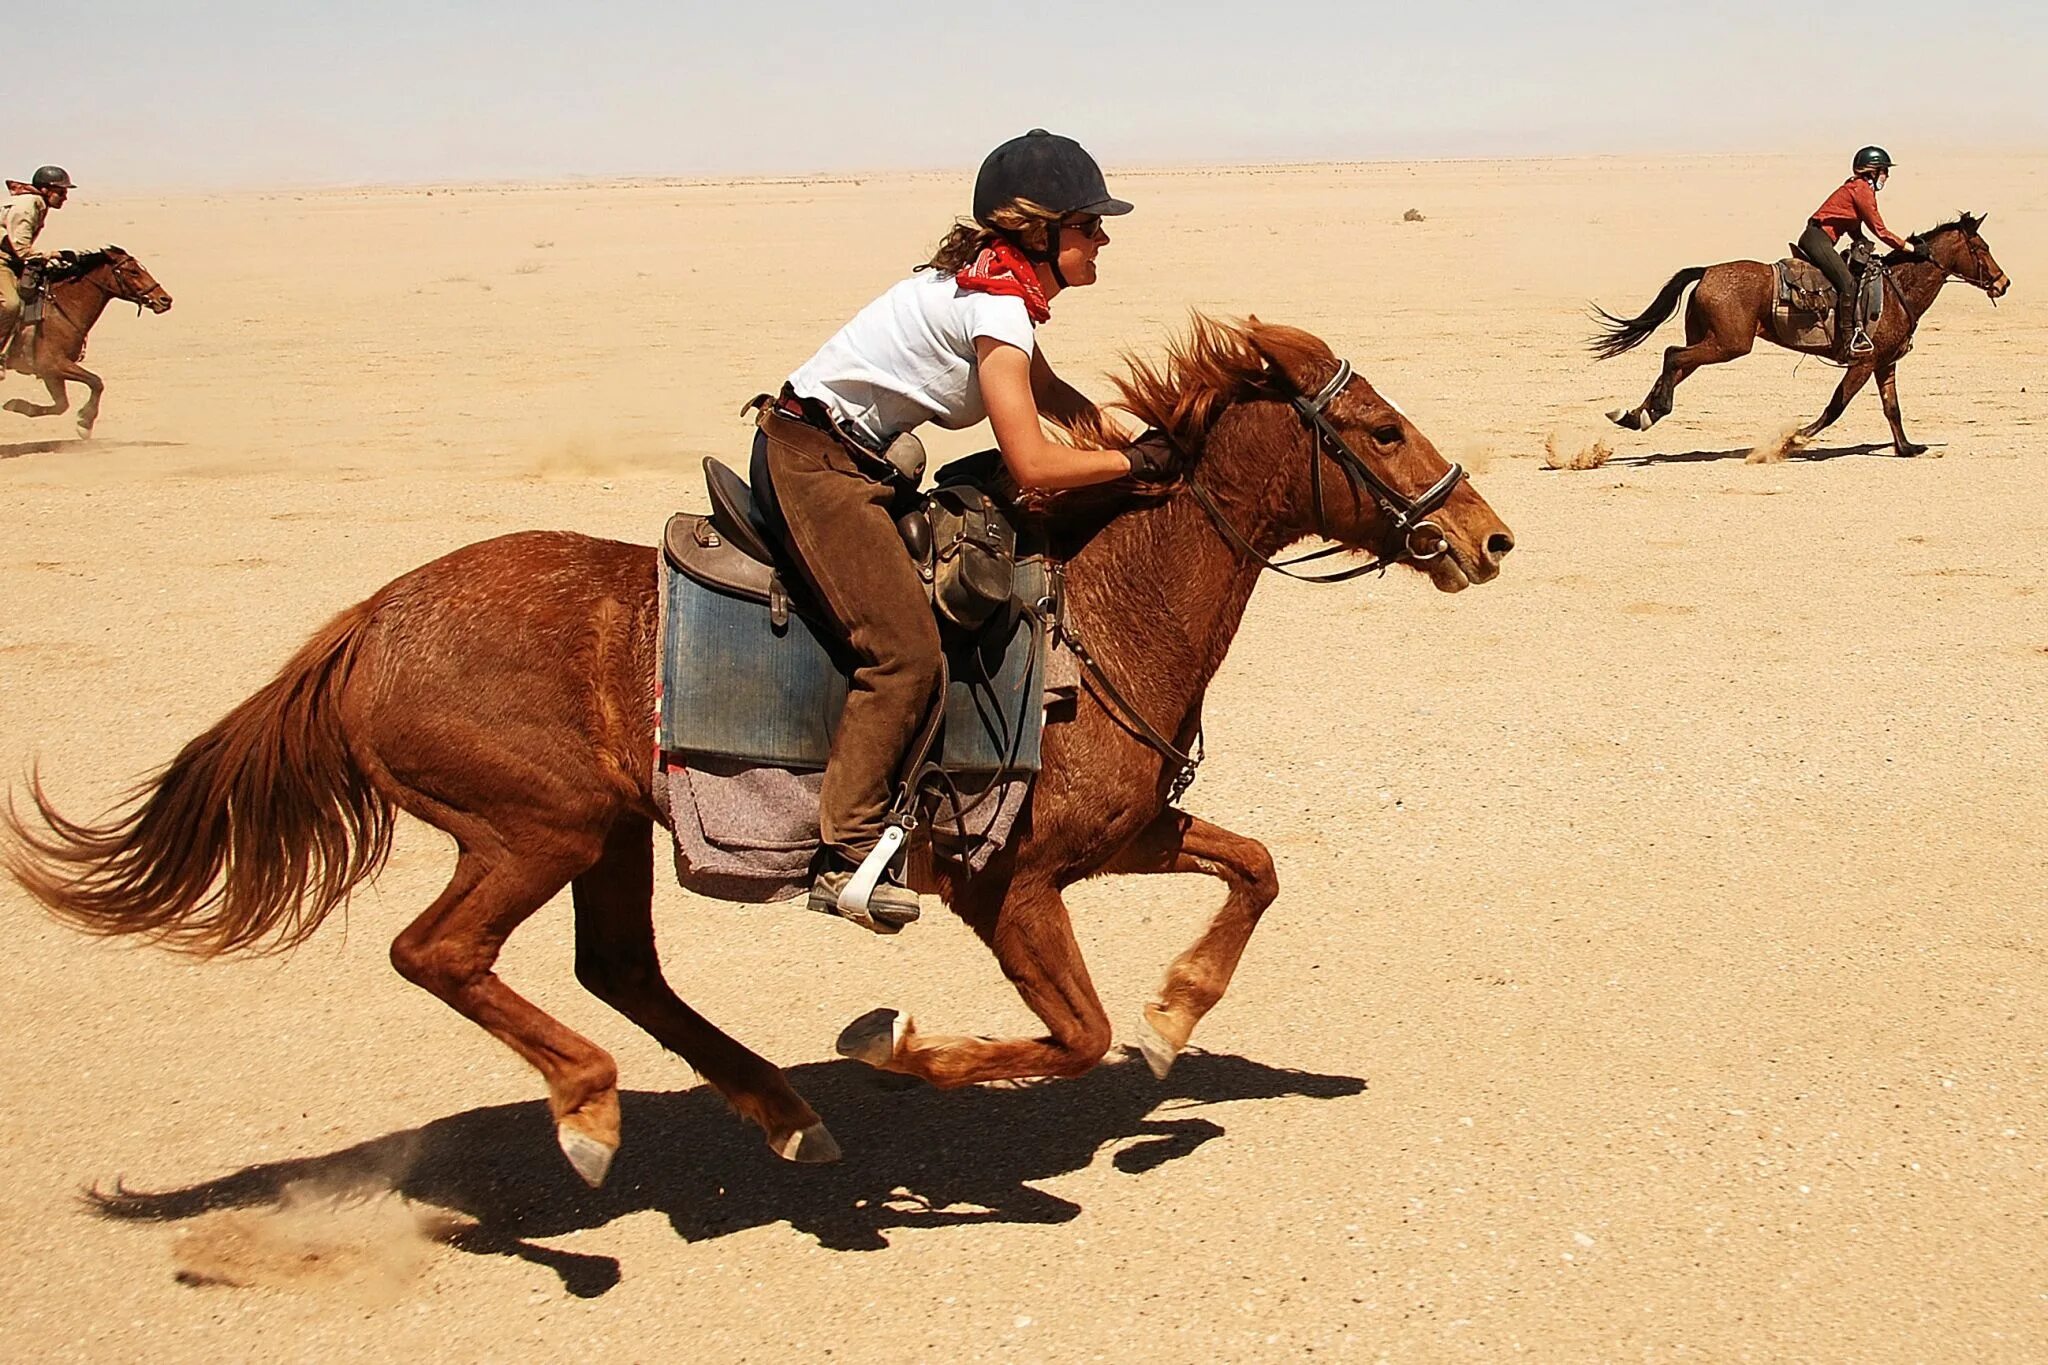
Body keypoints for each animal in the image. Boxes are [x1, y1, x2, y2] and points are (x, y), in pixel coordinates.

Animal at [4, 244, 171, 437]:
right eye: (133, 271)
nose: (165, 299)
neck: (59, 308)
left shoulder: (51, 373)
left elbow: (62, 405)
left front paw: (15, 405)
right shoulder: (53, 363)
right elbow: (96, 382)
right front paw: (85, 422)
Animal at [4, 317, 1523, 1186]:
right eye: (1379, 428)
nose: (1489, 534)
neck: (1097, 610)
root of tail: (371, 622)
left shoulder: (1129, 834)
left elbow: (1253, 870)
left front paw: (1177, 1014)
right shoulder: (1007, 885)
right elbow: (1069, 1036)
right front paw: (903, 1048)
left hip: (608, 833)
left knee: (615, 969)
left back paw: (781, 1113)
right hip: (532, 828)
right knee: (440, 954)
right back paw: (592, 1112)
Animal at [1589, 214, 2007, 458]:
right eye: (1981, 248)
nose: (2003, 283)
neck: (1895, 288)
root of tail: (1707, 271)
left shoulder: (1884, 362)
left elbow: (1892, 407)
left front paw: (1906, 448)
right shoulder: (1864, 361)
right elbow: (1836, 406)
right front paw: (1796, 439)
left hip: (1711, 340)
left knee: (1674, 362)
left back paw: (1636, 415)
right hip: (1727, 345)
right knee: (1673, 355)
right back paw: (1649, 412)